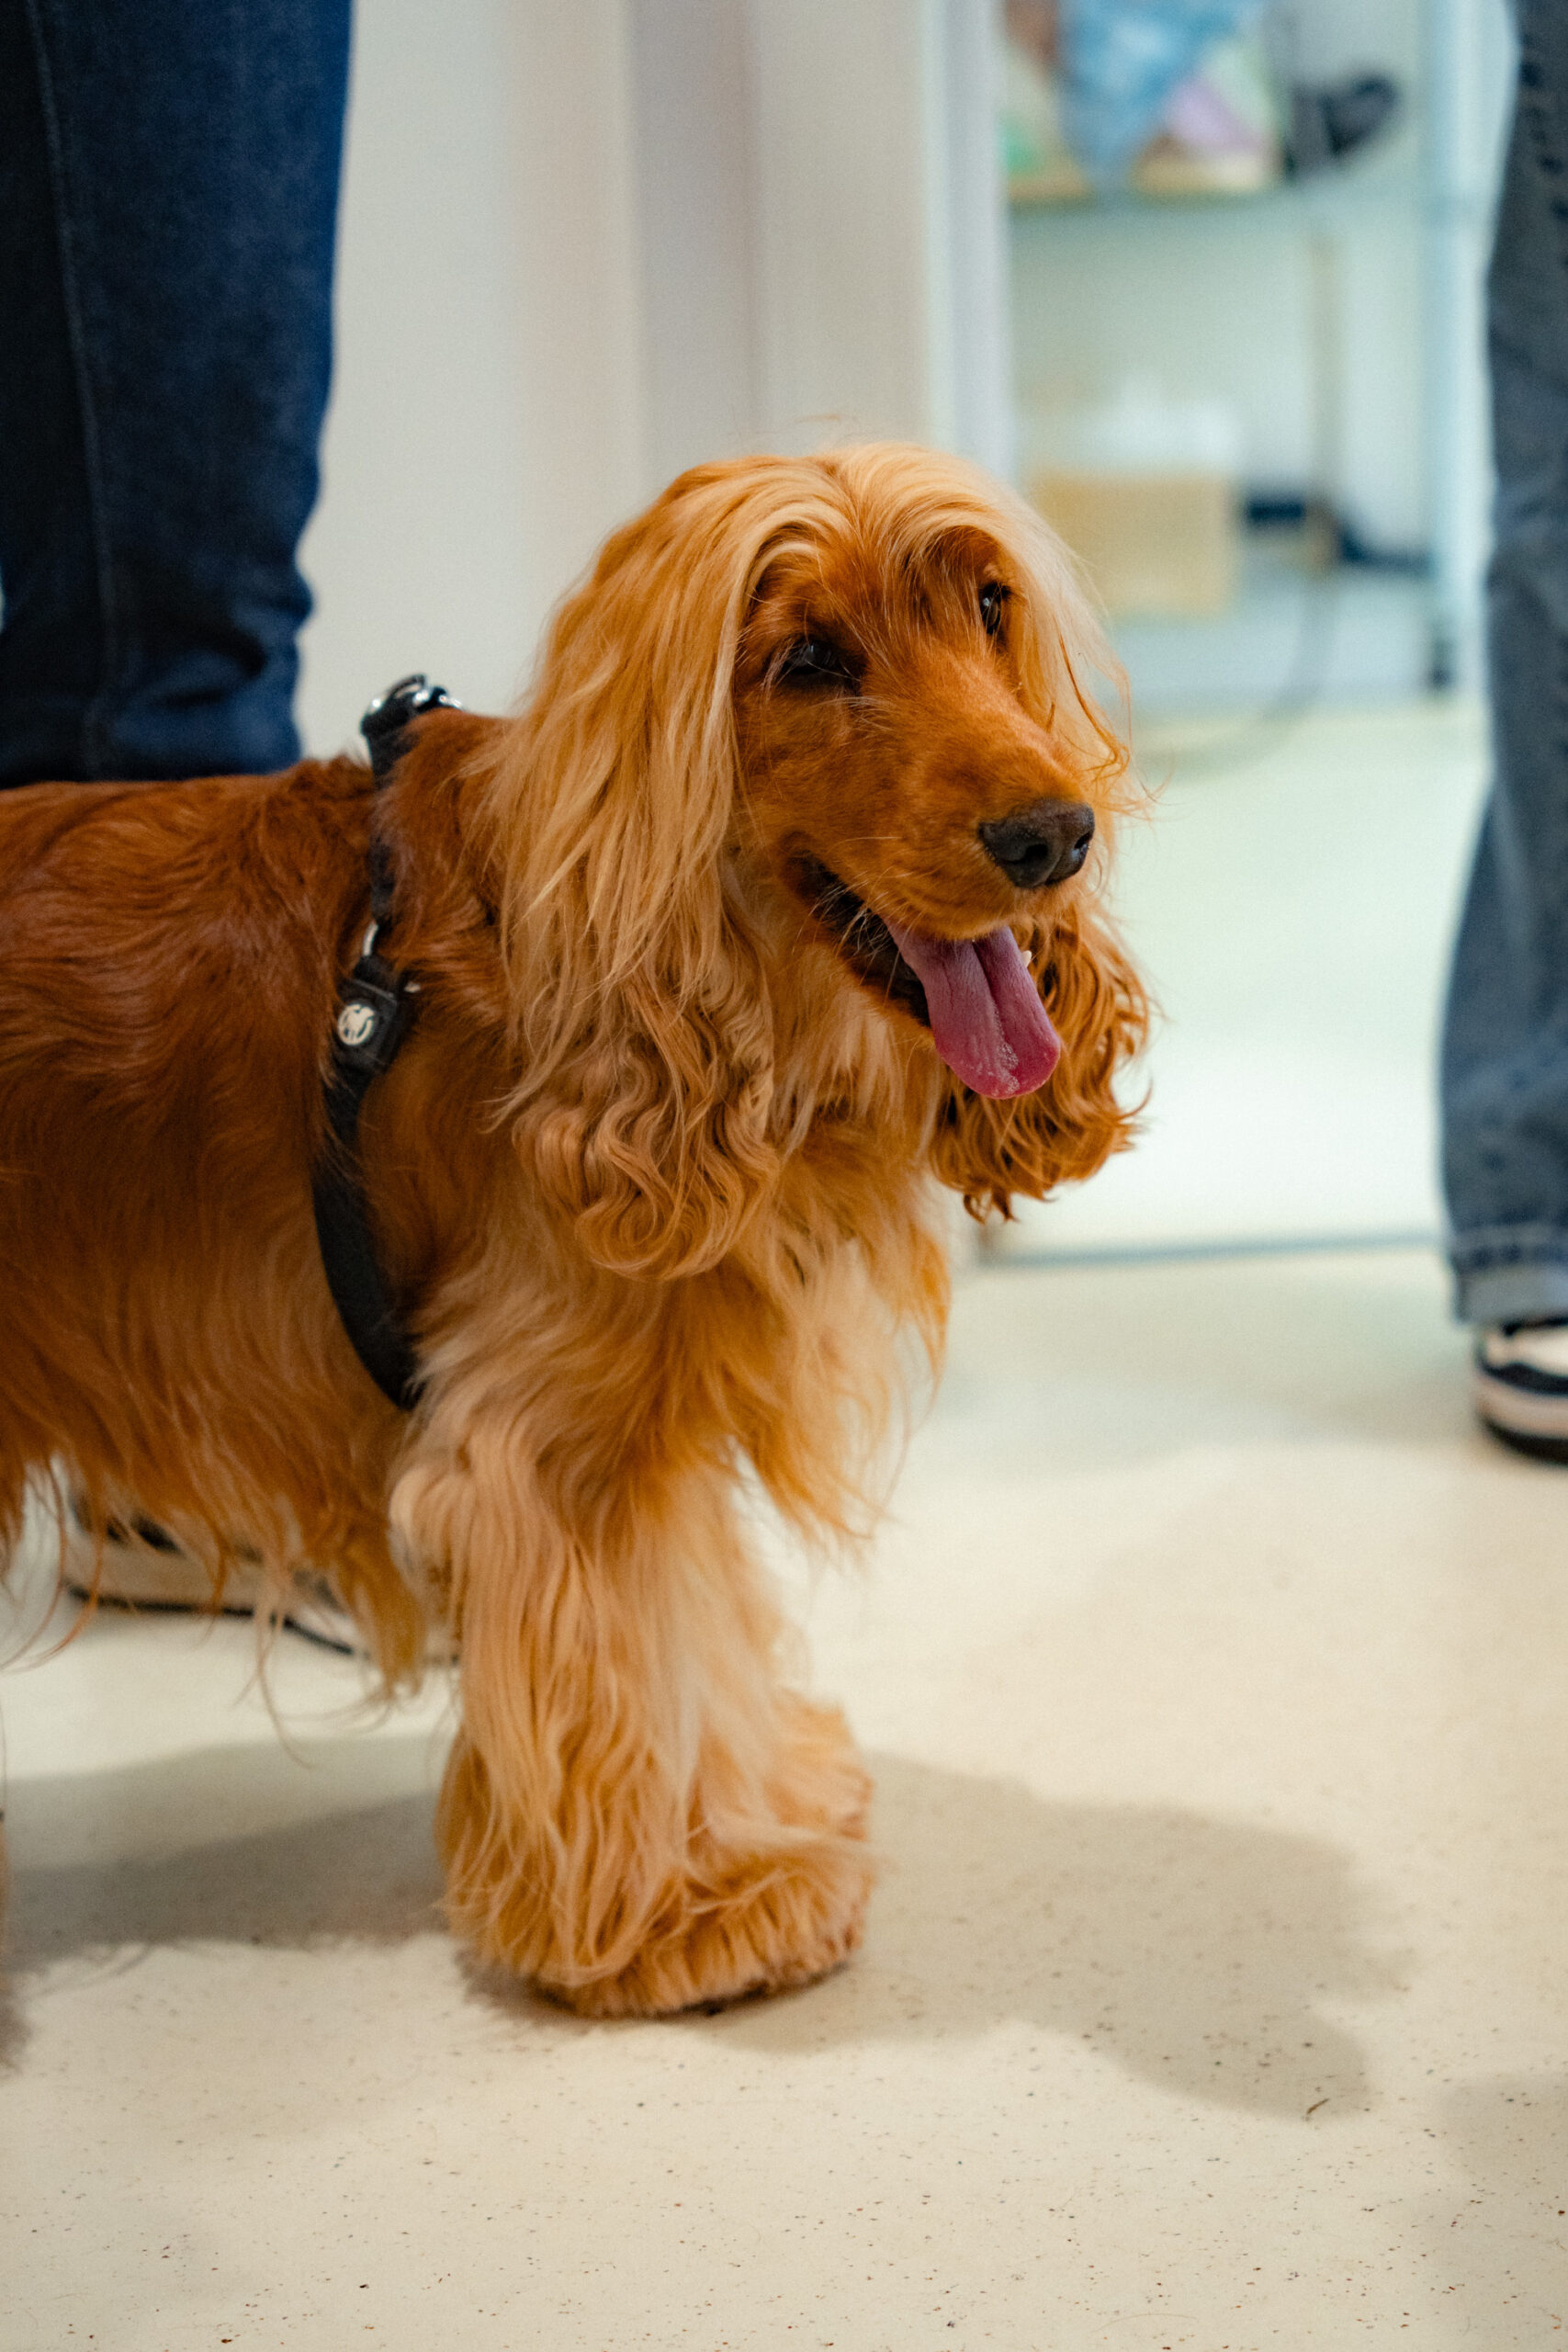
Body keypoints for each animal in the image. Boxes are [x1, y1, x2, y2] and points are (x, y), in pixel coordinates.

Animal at [0, 444, 1146, 2015]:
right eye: (806, 660)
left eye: (988, 605)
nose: (1054, 835)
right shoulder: (544, 1431)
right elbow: (623, 1656)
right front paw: (680, 1915)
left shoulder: (632, 1407)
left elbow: (695, 1626)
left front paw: (754, 1816)